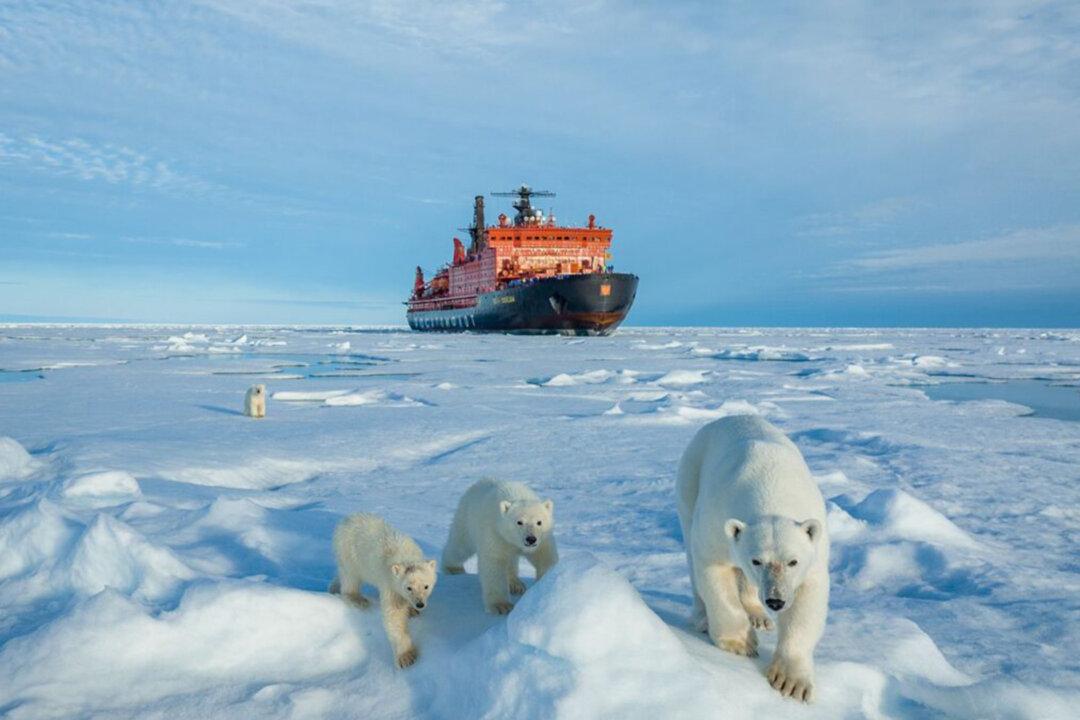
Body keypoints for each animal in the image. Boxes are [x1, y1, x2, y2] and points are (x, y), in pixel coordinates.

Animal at [329, 513, 437, 668]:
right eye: (408, 587)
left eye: (426, 586)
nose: (420, 604)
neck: (406, 556)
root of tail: (347, 520)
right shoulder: (390, 583)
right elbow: (394, 615)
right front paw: (406, 657)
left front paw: (412, 610)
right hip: (349, 553)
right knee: (350, 577)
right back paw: (357, 599)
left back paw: (333, 587)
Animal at [442, 478, 558, 615]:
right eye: (519, 522)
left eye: (539, 522)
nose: (530, 539)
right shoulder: (495, 533)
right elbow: (494, 564)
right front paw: (501, 606)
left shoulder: (542, 540)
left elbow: (545, 557)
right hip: (466, 518)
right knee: (460, 546)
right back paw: (453, 568)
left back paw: (515, 585)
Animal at [675, 415, 829, 703]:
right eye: (756, 561)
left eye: (793, 562)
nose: (776, 601)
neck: (770, 490)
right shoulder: (717, 517)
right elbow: (712, 569)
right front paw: (740, 643)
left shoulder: (814, 547)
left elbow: (808, 597)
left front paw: (791, 682)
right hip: (690, 478)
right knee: (691, 554)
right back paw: (703, 618)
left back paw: (759, 616)